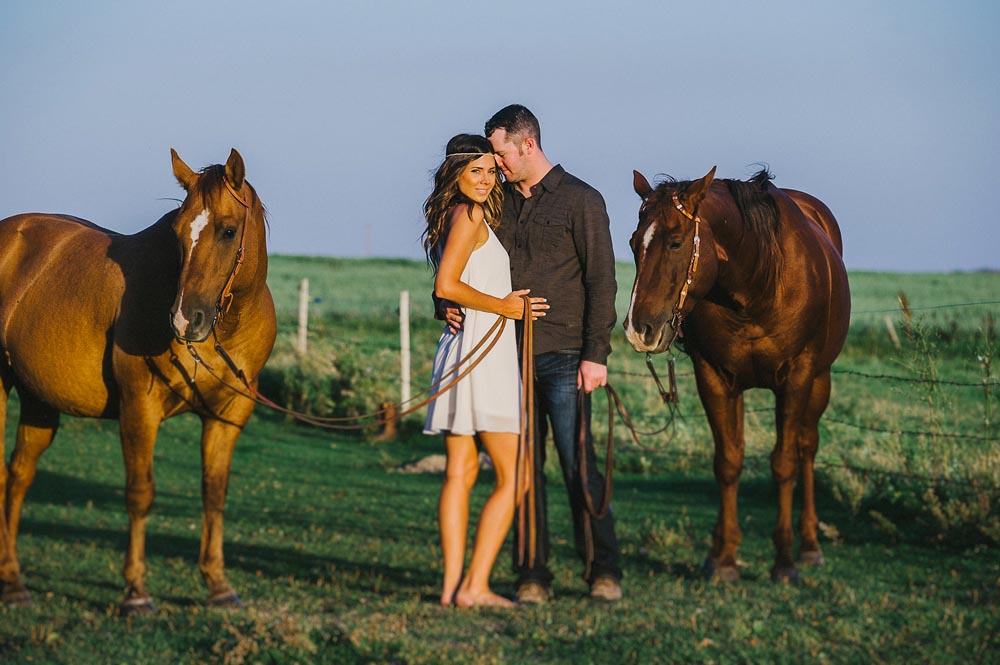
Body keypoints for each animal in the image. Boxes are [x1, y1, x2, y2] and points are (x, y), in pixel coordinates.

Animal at [0, 148, 278, 608]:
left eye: (228, 231)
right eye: (178, 232)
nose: (185, 319)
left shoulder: (227, 415)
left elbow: (214, 492)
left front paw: (218, 585)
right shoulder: (139, 409)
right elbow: (140, 493)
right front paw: (135, 592)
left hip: (39, 402)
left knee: (18, 476)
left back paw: (13, 582)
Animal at [624, 169, 852, 584]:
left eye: (676, 242)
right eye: (634, 243)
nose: (639, 329)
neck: (756, 286)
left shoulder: (796, 379)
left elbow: (785, 463)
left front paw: (784, 562)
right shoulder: (714, 378)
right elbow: (728, 461)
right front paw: (723, 559)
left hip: (820, 381)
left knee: (807, 448)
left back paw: (810, 545)